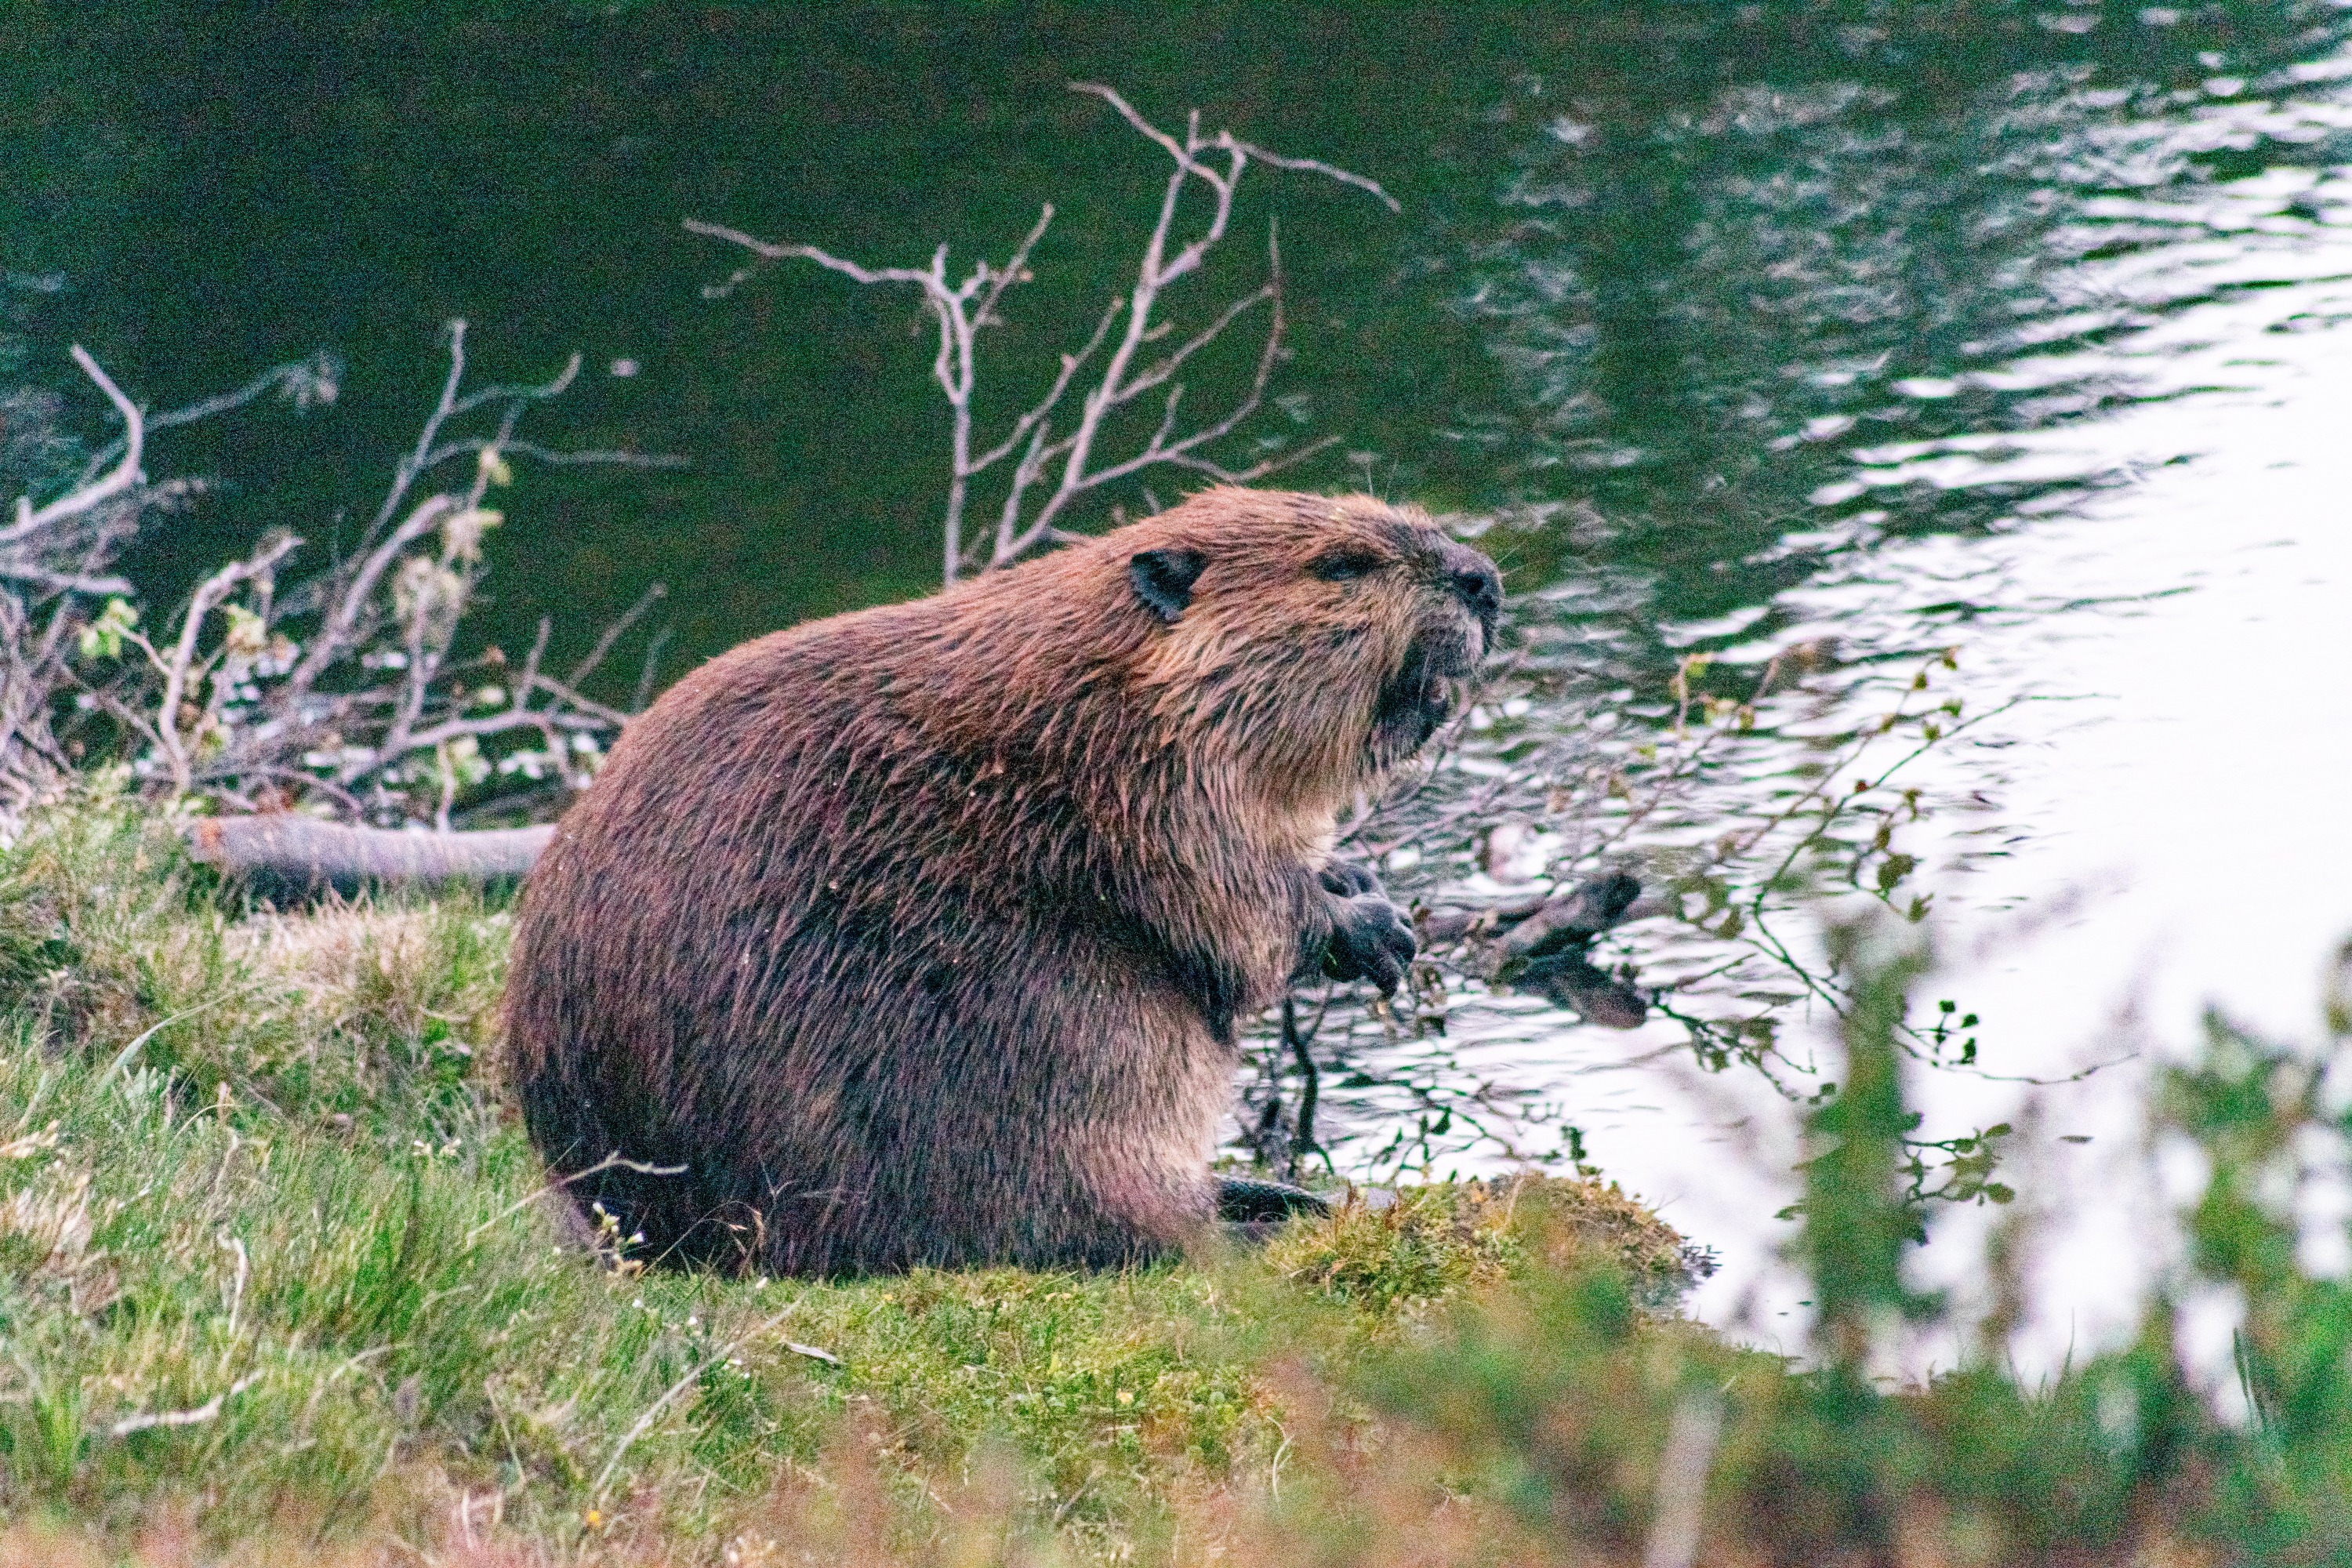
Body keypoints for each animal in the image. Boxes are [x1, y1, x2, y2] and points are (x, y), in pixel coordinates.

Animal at [513, 491, 1505, 1279]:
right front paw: (1372, 926)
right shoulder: (1143, 792)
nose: (1484, 579)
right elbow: (1234, 908)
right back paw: (1261, 1220)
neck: (1113, 687)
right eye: (1343, 563)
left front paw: (1357, 877)